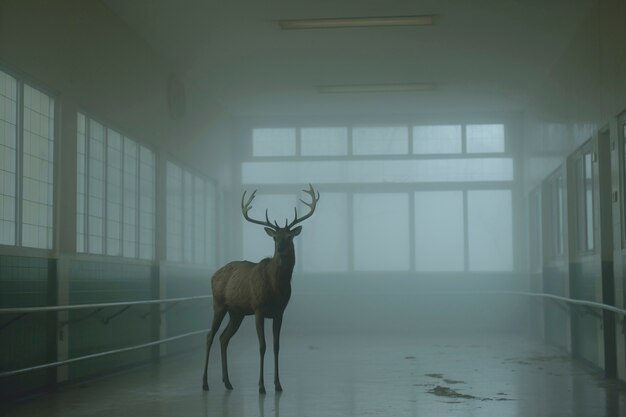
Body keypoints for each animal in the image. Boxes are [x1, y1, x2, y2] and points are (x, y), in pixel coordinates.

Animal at [201, 183, 320, 394]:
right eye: (275, 238)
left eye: (289, 236)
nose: (280, 249)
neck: (276, 287)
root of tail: (214, 275)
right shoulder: (258, 308)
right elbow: (262, 346)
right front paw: (262, 386)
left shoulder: (280, 311)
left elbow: (276, 346)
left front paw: (278, 385)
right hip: (219, 304)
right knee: (210, 336)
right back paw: (205, 383)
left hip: (237, 312)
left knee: (224, 338)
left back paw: (228, 382)